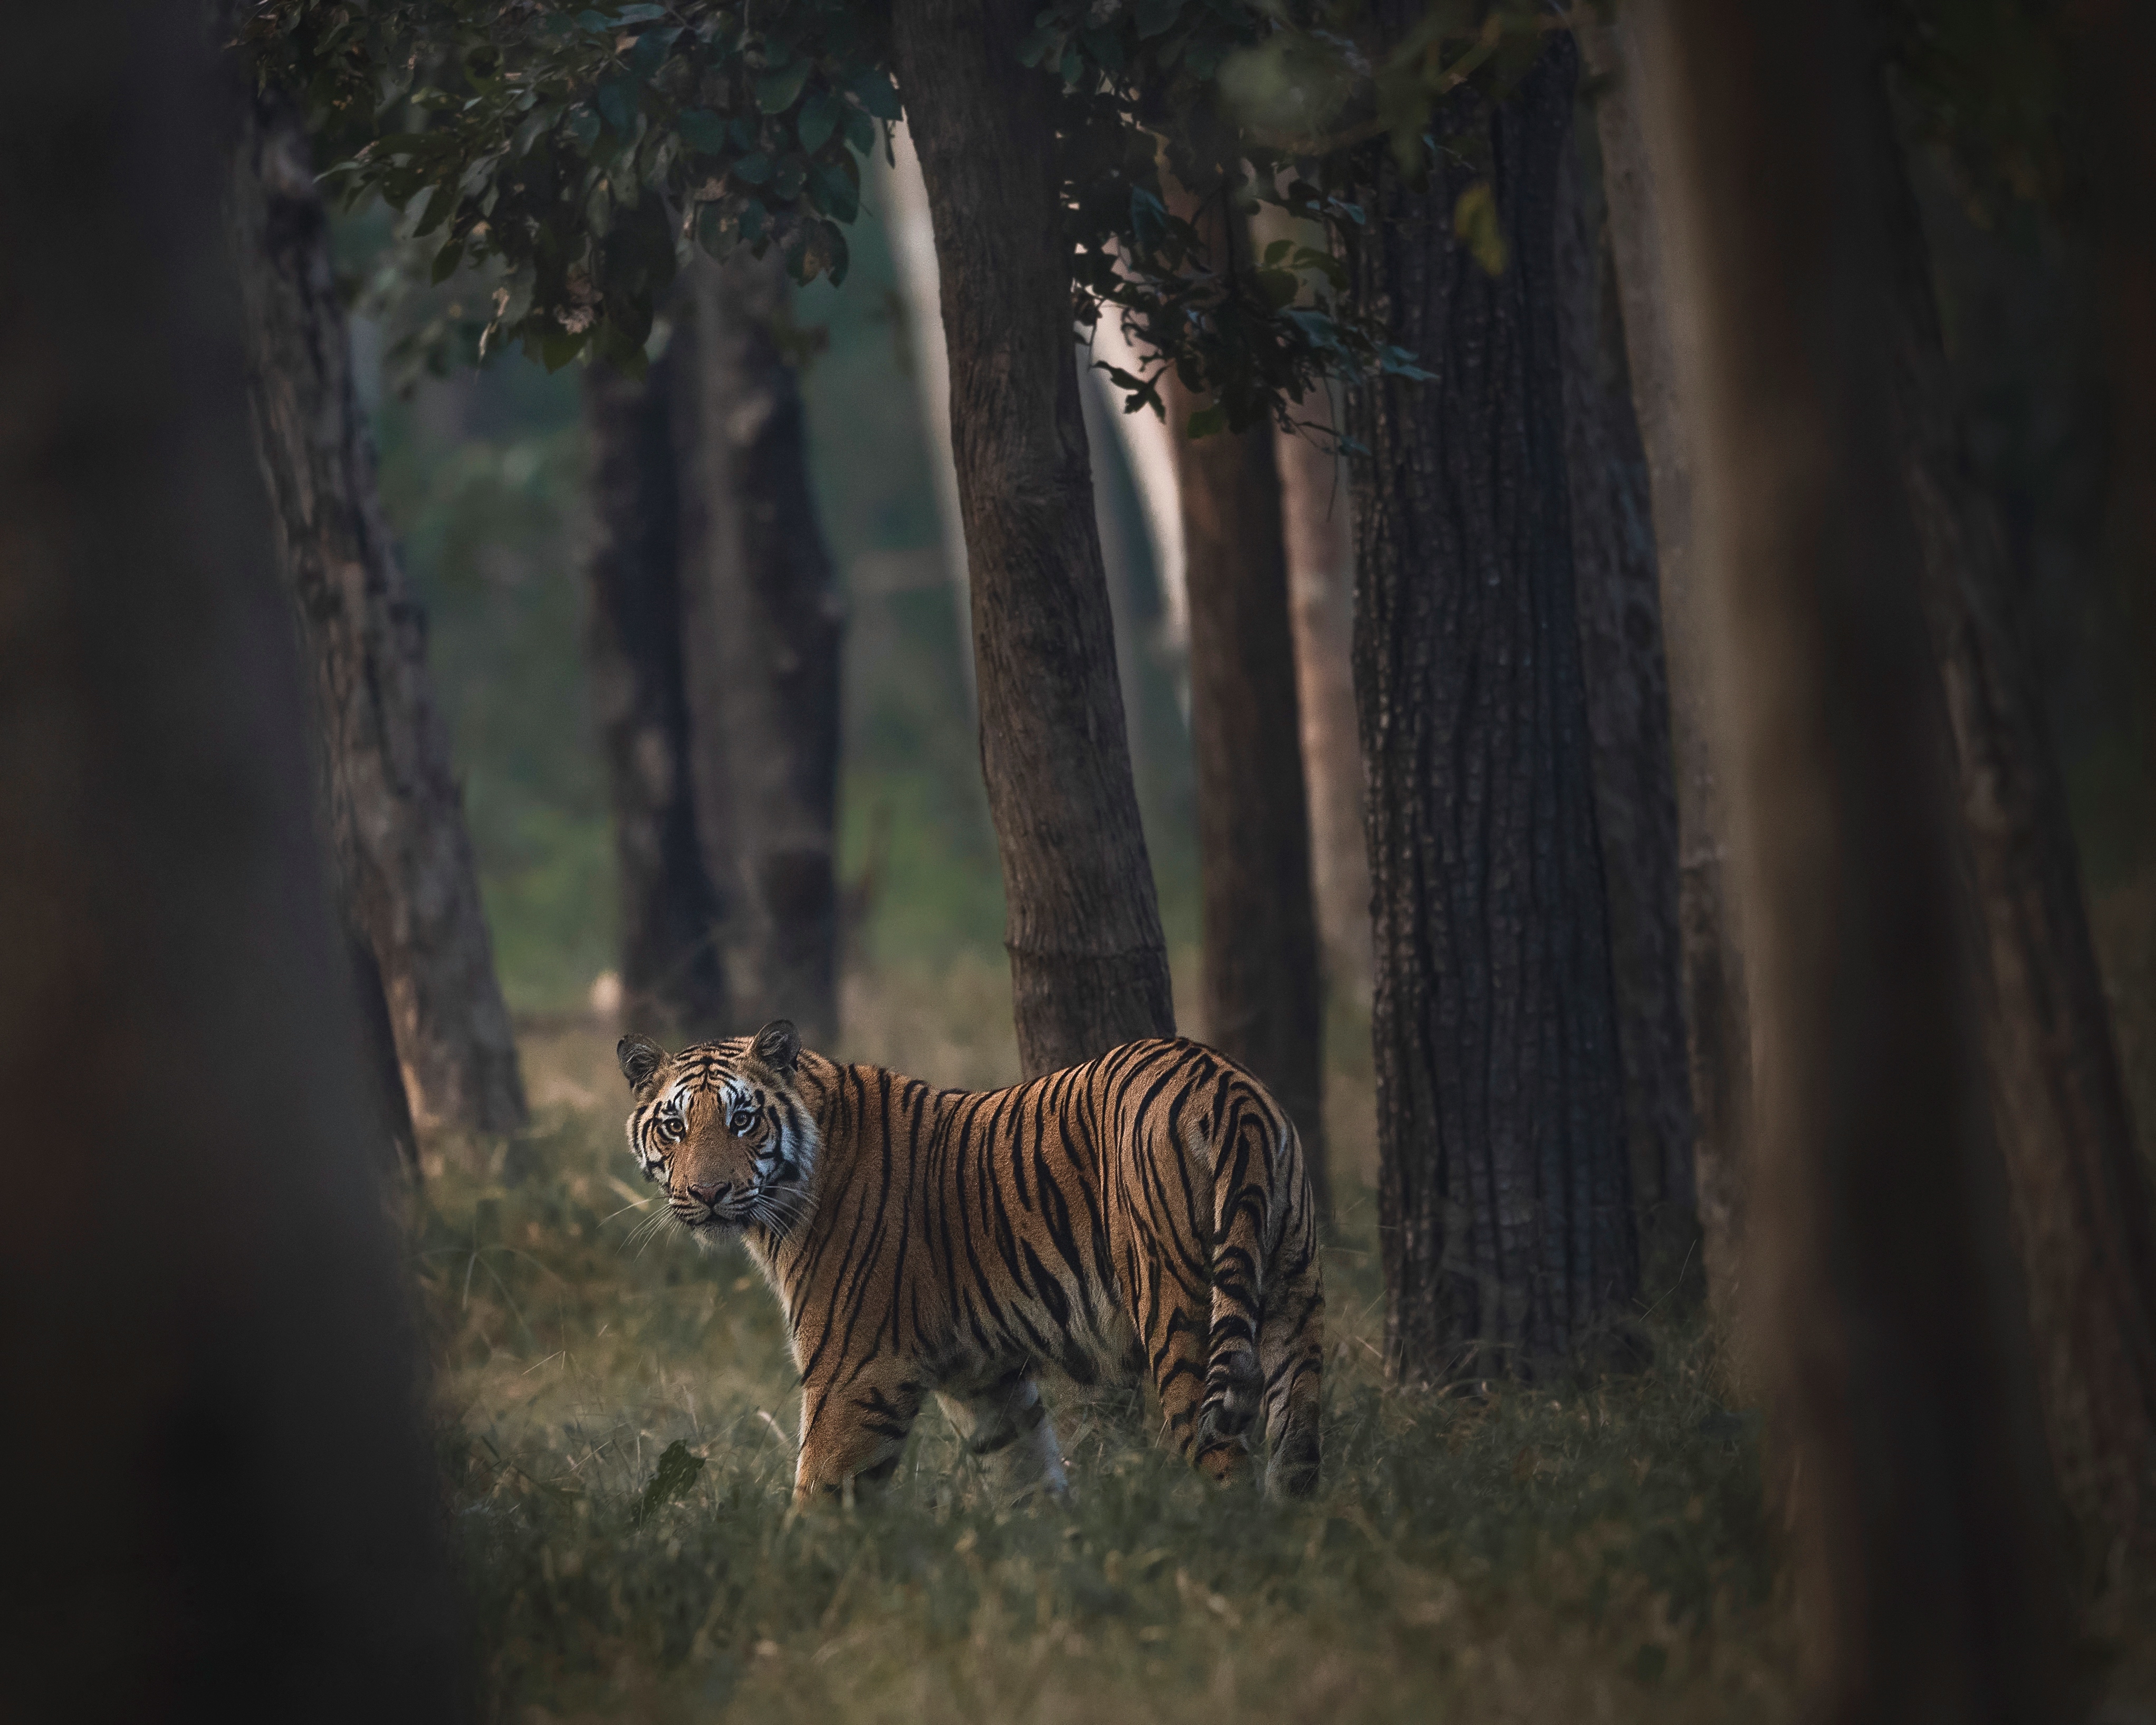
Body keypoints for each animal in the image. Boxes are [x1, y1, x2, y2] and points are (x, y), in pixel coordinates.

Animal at [608, 1018, 1310, 1500]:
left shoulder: (852, 1371)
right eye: (674, 1127)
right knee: (1298, 1446)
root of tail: (1222, 1082)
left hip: (1180, 1315)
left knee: (1222, 1459)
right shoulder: (986, 1379)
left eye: (742, 1121)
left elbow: (820, 1491)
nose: (707, 1193)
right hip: (1292, 1298)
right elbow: (1028, 1475)